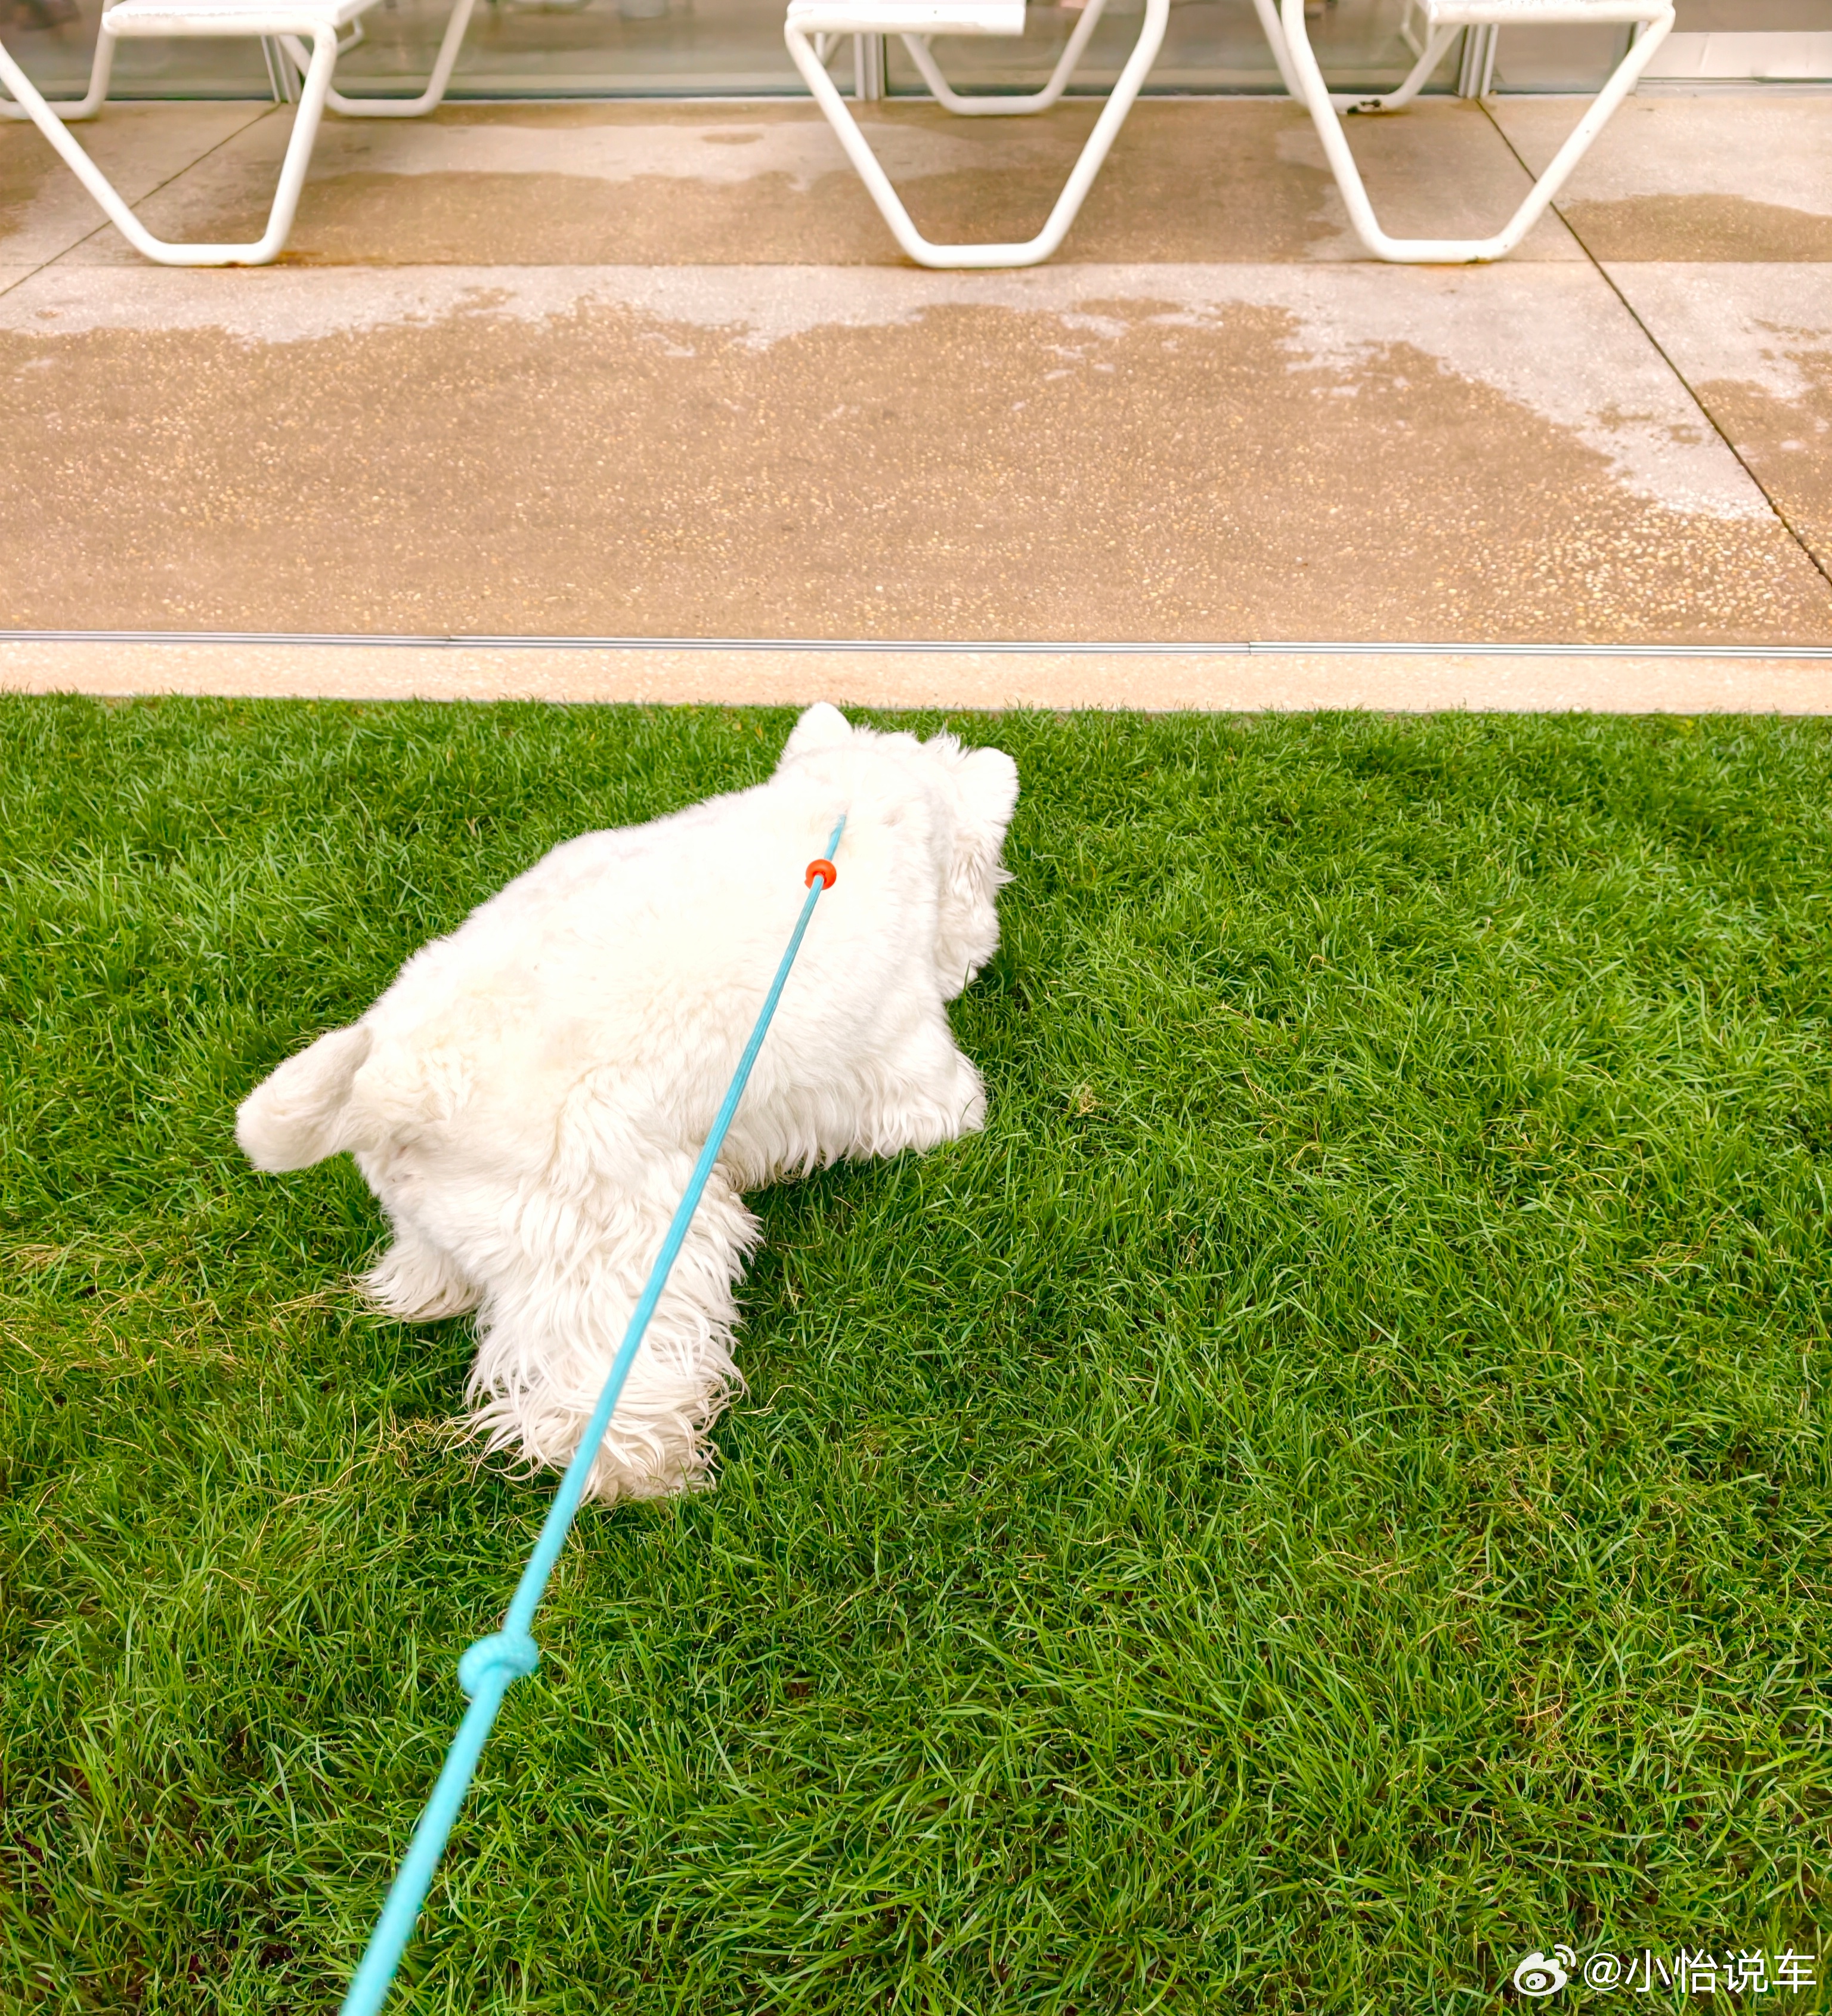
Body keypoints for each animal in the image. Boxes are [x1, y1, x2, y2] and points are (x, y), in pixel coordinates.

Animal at [236, 704, 1019, 1501]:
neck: (856, 802)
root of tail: (395, 1087)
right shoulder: (908, 1073)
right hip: (628, 1252)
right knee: (585, 1397)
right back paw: (648, 1469)